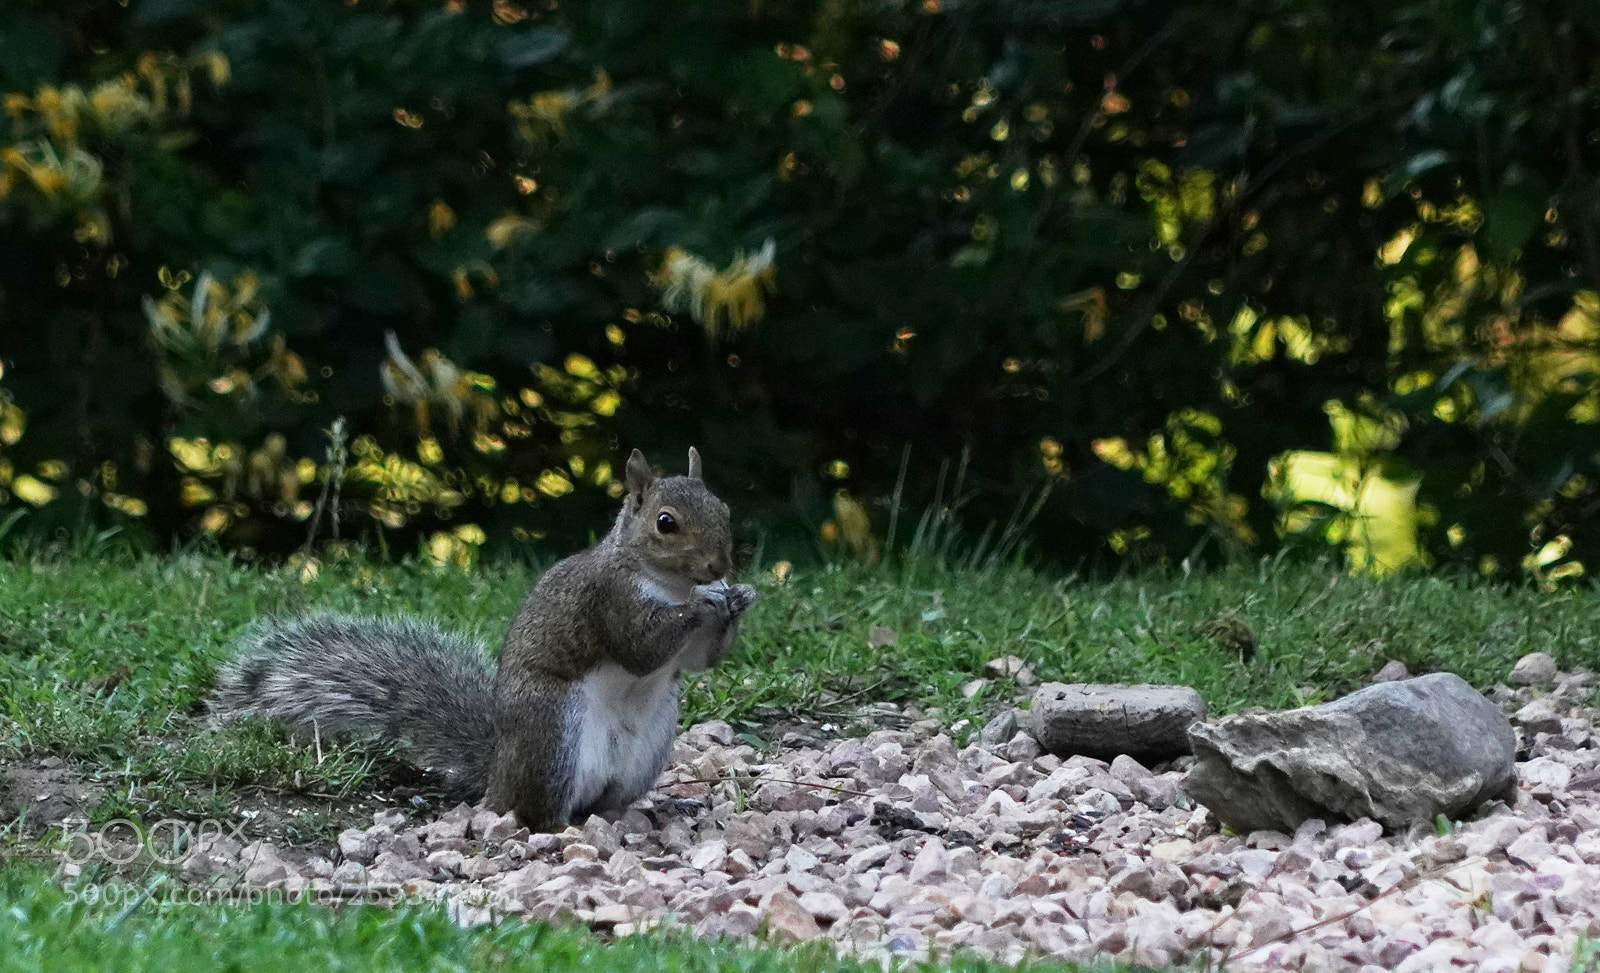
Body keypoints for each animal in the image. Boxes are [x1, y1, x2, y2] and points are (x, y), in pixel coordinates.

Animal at [209, 447, 757, 832]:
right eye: (666, 523)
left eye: (724, 509)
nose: (719, 566)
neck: (666, 583)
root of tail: (497, 779)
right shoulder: (608, 601)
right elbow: (640, 649)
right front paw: (703, 603)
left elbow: (700, 660)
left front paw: (740, 597)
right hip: (552, 733)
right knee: (539, 813)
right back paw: (563, 828)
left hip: (649, 742)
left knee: (606, 802)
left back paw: (652, 809)